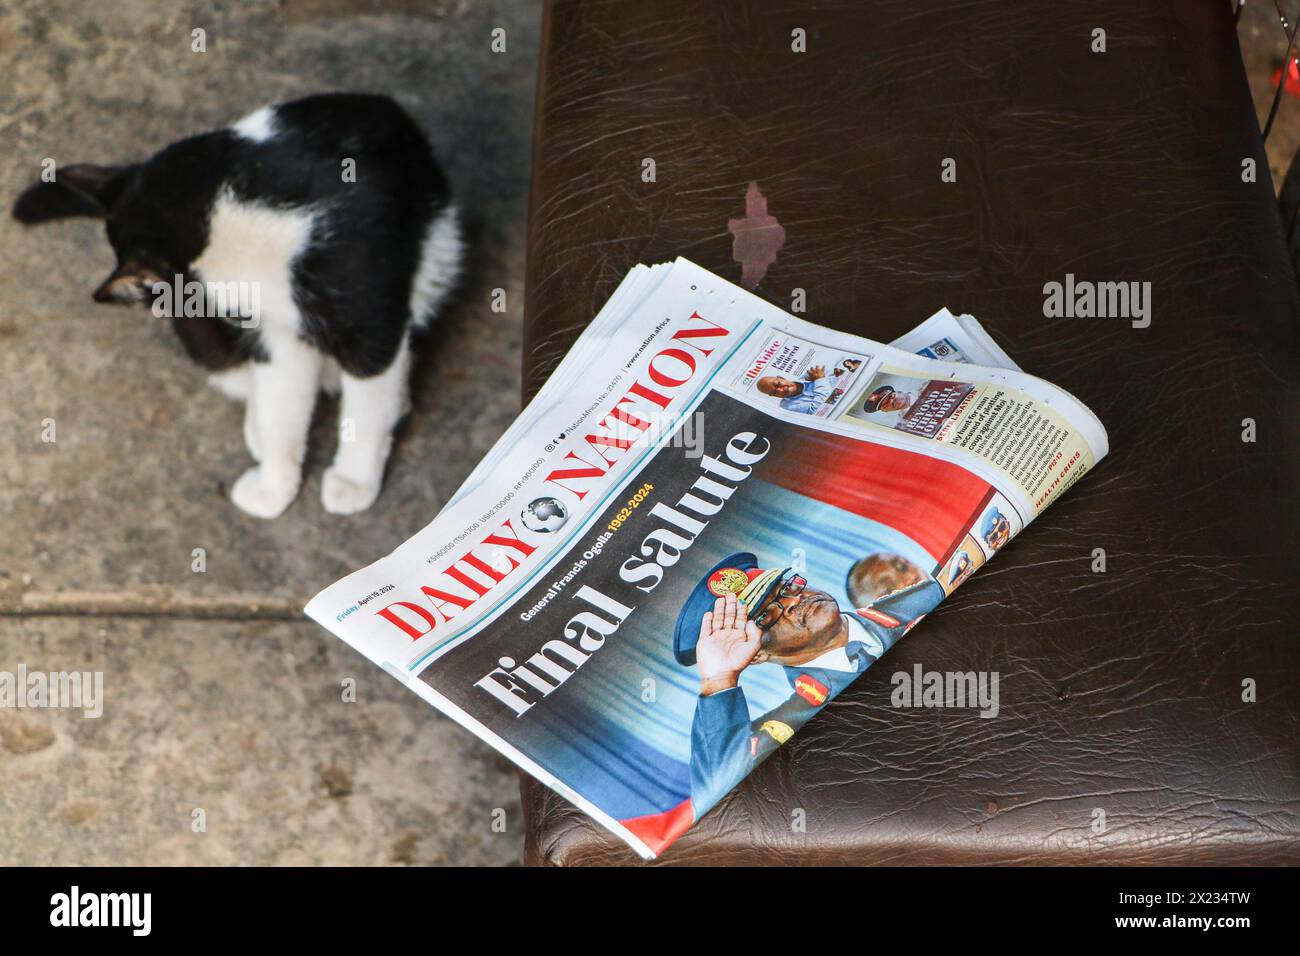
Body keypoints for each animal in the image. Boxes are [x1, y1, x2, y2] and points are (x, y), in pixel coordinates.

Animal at [12, 91, 465, 515]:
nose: (139, 295)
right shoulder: (270, 328)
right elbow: (281, 402)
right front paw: (273, 486)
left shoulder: (367, 315)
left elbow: (367, 404)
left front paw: (353, 480)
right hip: (200, 330)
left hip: (440, 254)